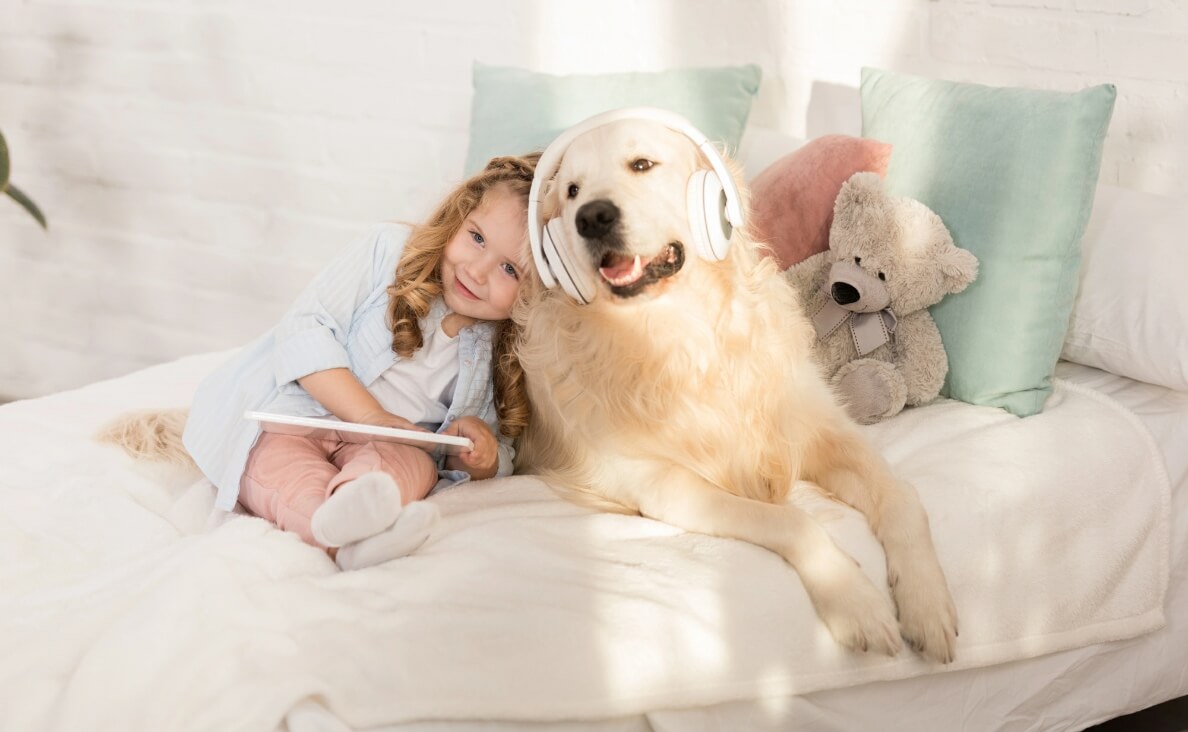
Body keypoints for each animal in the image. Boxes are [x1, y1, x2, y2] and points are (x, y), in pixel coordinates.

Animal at [515, 112, 959, 665]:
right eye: (572, 191)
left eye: (641, 164)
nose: (591, 217)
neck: (685, 333)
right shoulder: (662, 485)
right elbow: (792, 522)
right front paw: (856, 601)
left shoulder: (822, 430)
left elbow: (902, 497)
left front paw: (927, 601)